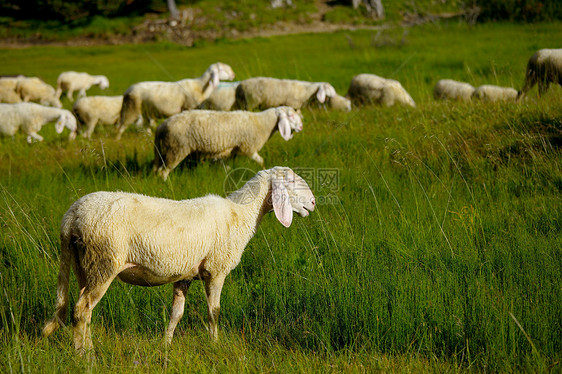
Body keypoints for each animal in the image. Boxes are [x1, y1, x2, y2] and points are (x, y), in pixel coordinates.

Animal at [42, 167, 316, 354]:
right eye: (291, 181)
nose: (313, 203)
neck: (241, 213)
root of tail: (72, 215)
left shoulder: (185, 275)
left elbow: (176, 314)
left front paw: (165, 346)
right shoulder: (216, 270)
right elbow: (214, 312)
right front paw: (215, 345)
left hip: (84, 264)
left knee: (84, 310)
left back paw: (86, 347)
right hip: (103, 261)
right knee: (81, 310)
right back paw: (84, 356)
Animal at [152, 106, 302, 180]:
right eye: (290, 116)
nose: (300, 127)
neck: (263, 123)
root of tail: (162, 126)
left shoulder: (233, 151)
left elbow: (228, 165)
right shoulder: (248, 147)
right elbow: (261, 160)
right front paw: (266, 170)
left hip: (165, 150)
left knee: (157, 169)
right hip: (176, 149)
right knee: (163, 171)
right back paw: (166, 185)